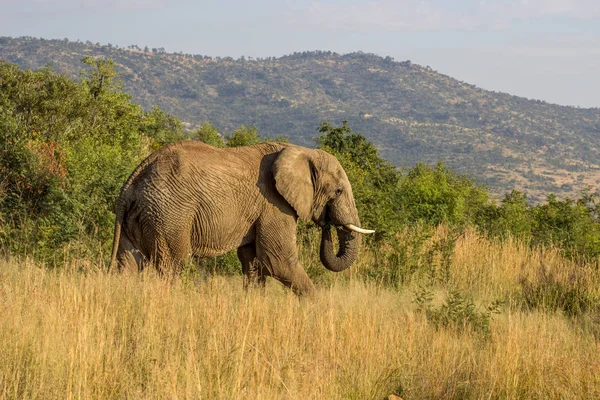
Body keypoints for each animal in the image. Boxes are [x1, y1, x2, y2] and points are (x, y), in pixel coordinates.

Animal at [107, 140, 370, 294]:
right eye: (338, 191)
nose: (326, 223)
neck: (301, 151)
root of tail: (132, 180)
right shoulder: (274, 204)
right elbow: (277, 261)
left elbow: (253, 263)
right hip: (169, 215)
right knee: (172, 267)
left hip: (143, 215)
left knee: (128, 264)